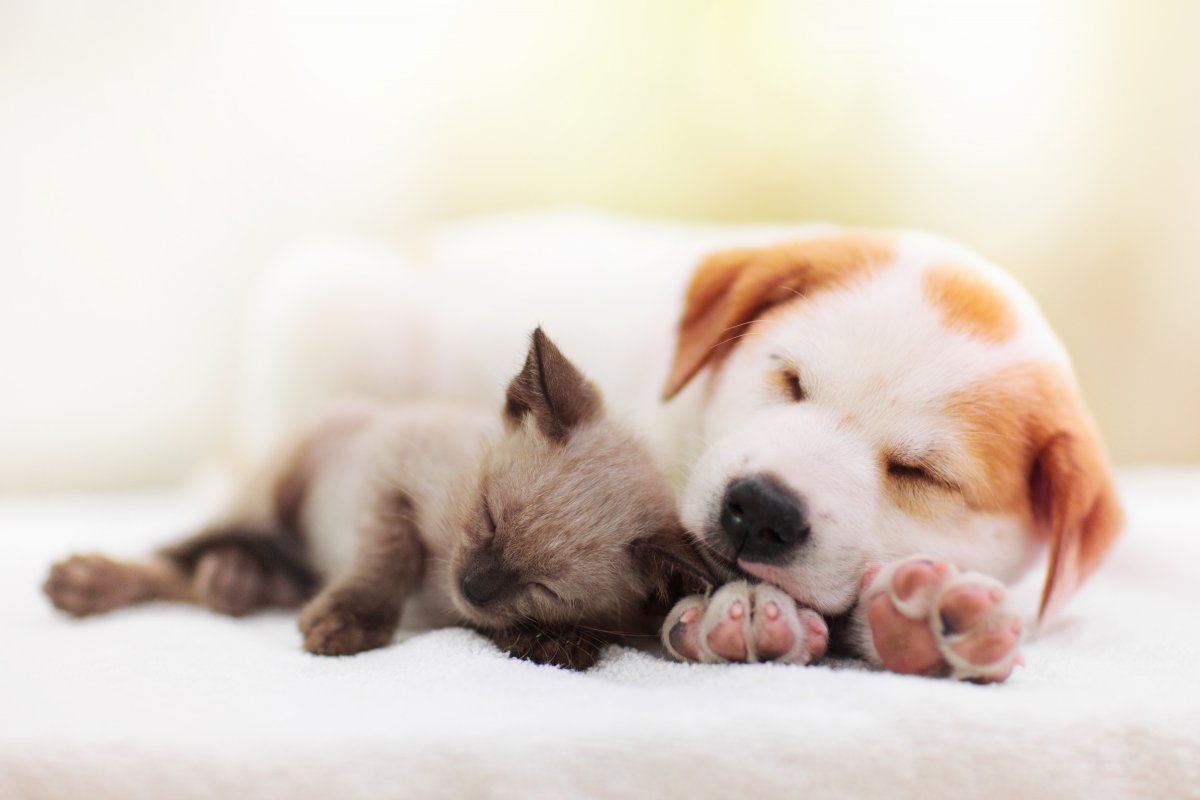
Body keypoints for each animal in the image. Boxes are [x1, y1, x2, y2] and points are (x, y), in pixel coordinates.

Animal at [44, 326, 710, 671]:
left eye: (544, 588)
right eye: (487, 516)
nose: (473, 585)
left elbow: (537, 635)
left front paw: (555, 640)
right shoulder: (389, 478)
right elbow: (386, 558)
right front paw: (349, 621)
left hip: (290, 562)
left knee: (227, 576)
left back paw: (233, 580)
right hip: (273, 486)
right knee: (182, 552)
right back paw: (99, 580)